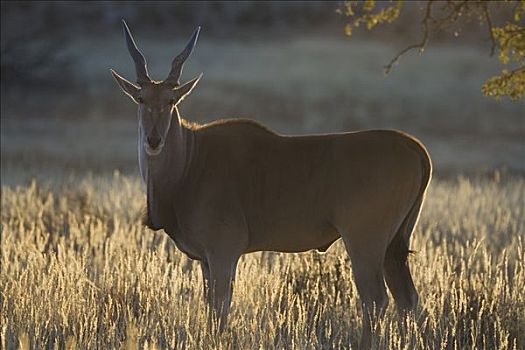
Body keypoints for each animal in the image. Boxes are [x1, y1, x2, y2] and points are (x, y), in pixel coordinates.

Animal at [109, 20, 430, 348]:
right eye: (141, 99)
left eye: (171, 101)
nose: (153, 140)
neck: (190, 163)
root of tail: (412, 146)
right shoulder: (205, 260)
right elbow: (211, 308)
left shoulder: (224, 252)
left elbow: (220, 309)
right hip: (394, 244)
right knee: (407, 299)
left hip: (365, 240)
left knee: (376, 300)